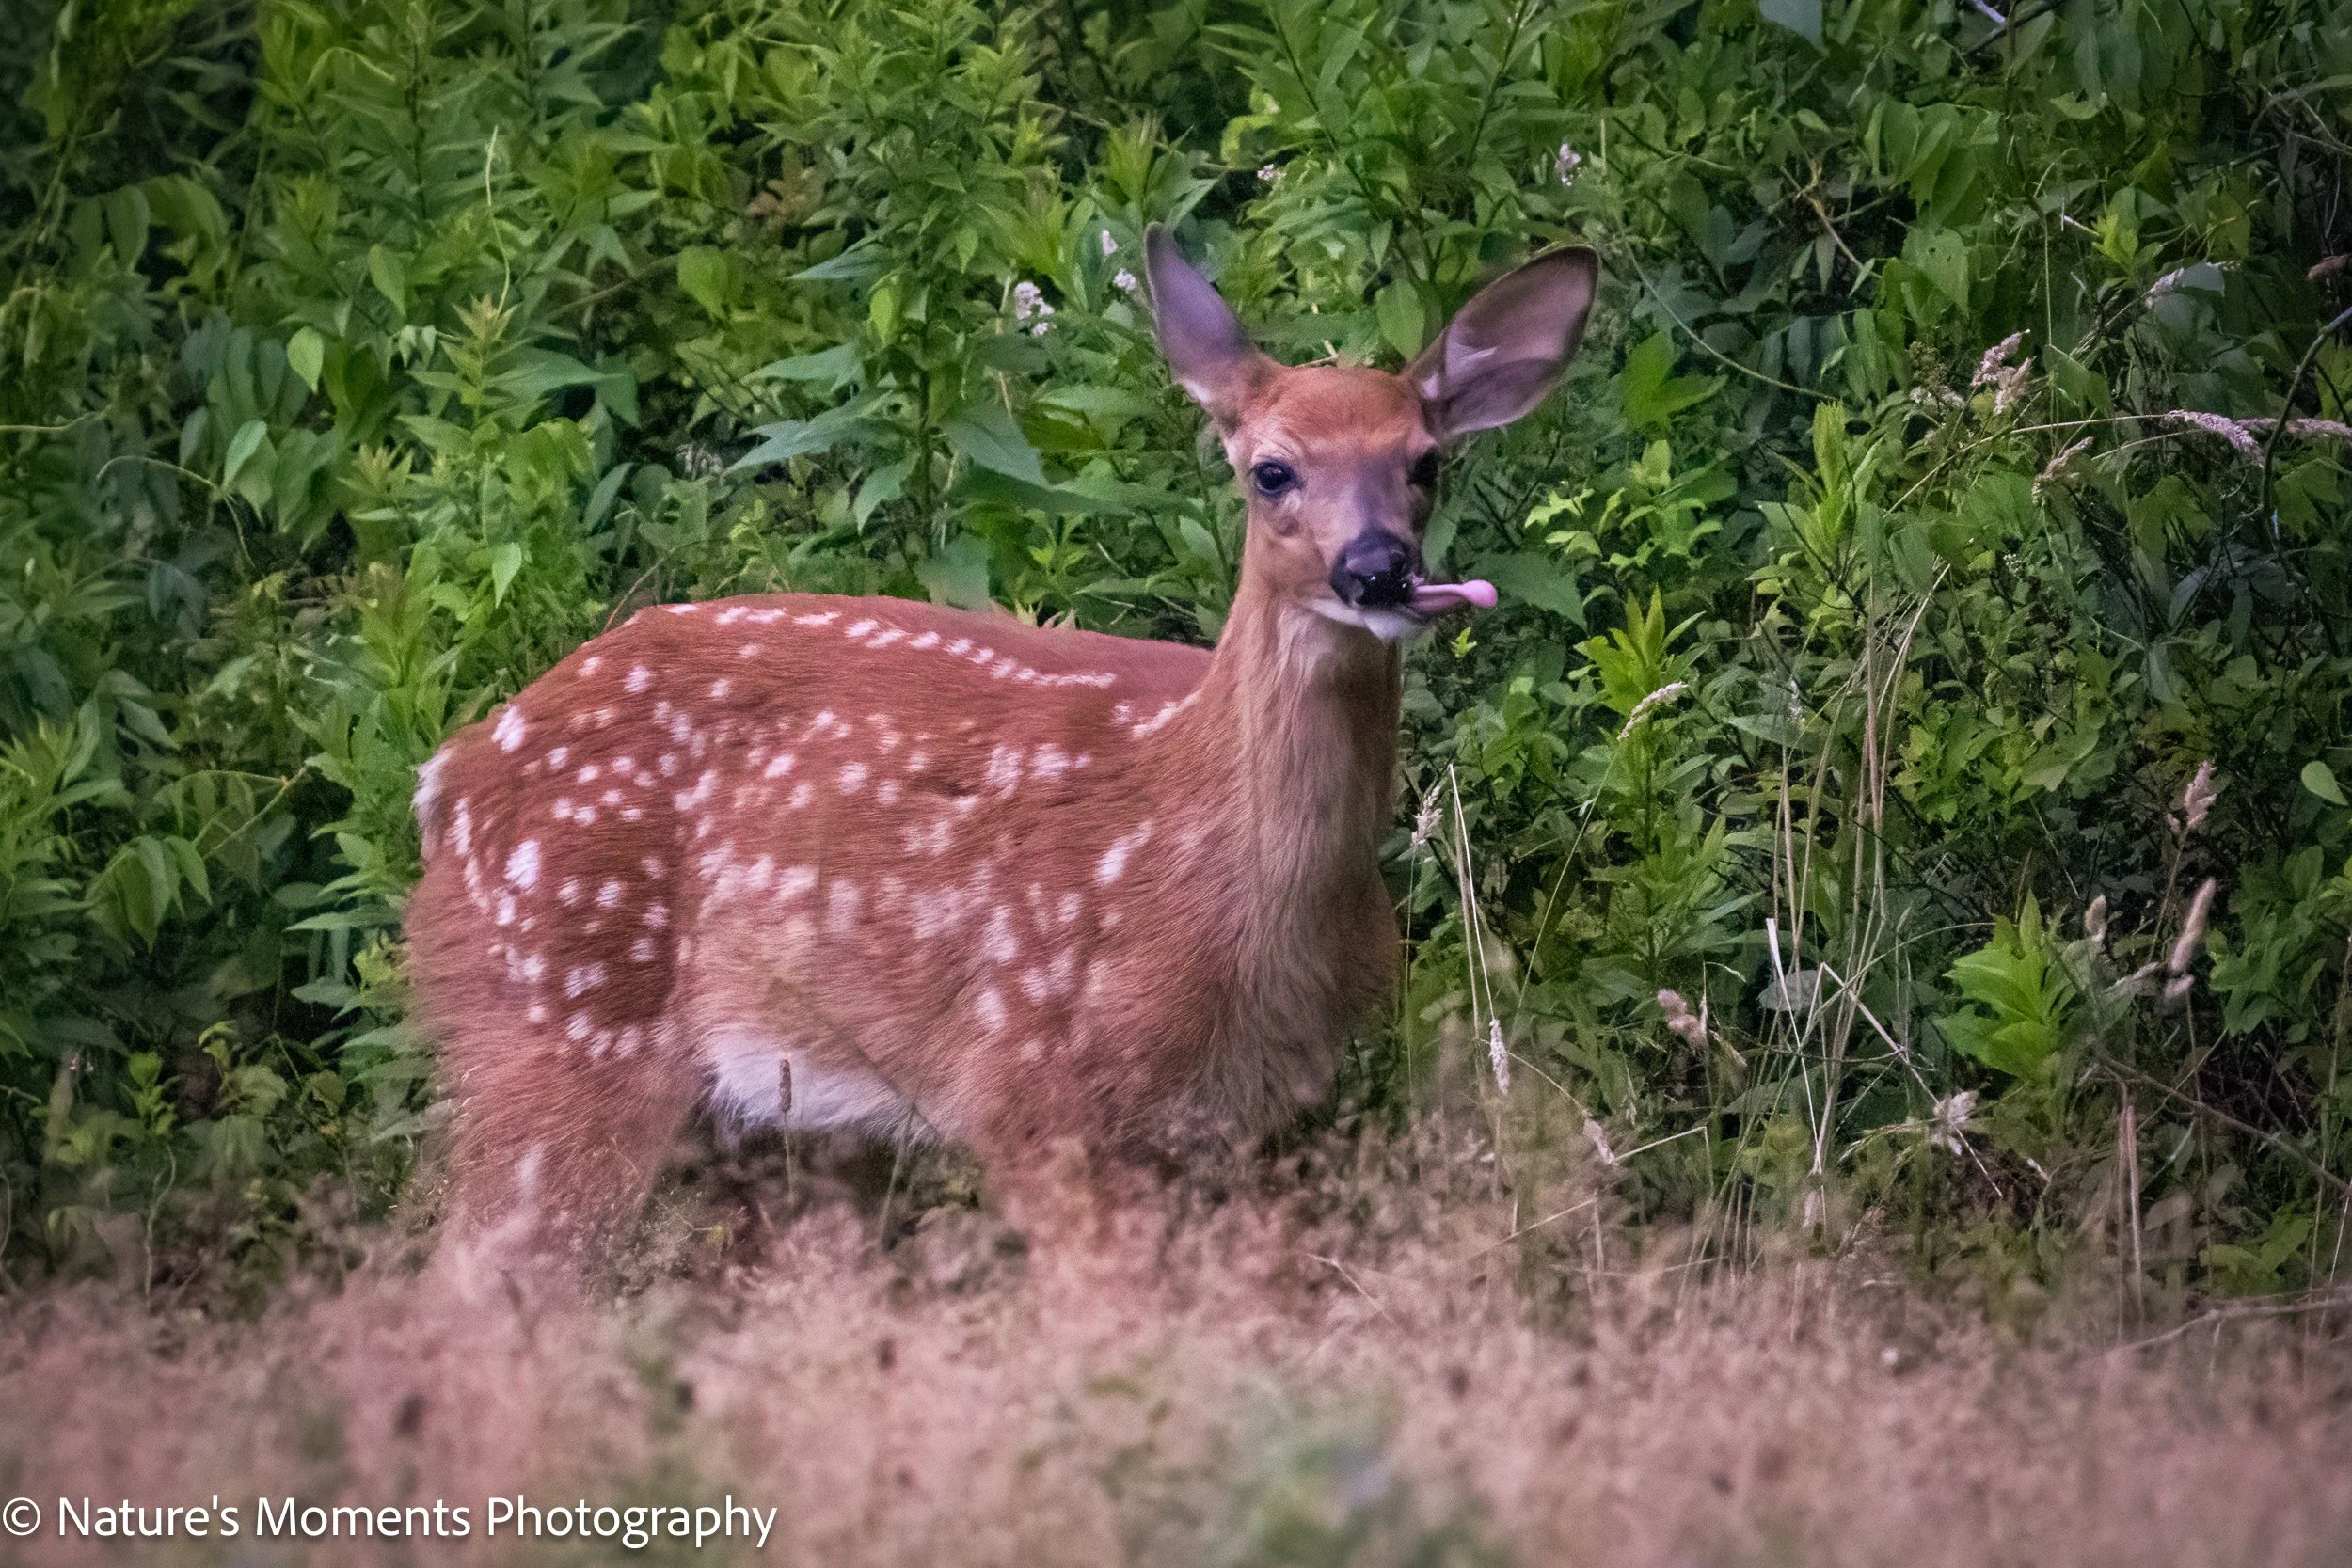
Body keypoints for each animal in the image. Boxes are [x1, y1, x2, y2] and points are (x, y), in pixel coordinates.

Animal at [404, 227, 1598, 1261]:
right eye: (1271, 470)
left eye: (1426, 462)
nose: (1378, 567)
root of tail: (445, 780)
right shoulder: (1031, 1083)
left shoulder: (1269, 1116)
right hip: (561, 1013)